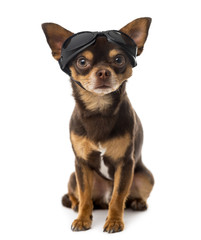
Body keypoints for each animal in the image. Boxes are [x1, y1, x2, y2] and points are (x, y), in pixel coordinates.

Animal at [42, 16, 154, 232]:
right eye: (82, 61)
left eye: (119, 59)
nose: (102, 72)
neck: (99, 109)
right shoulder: (82, 163)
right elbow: (85, 195)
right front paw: (82, 219)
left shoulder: (125, 164)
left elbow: (118, 196)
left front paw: (114, 221)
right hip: (73, 176)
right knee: (78, 195)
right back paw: (76, 205)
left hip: (145, 177)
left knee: (124, 197)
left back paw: (138, 202)